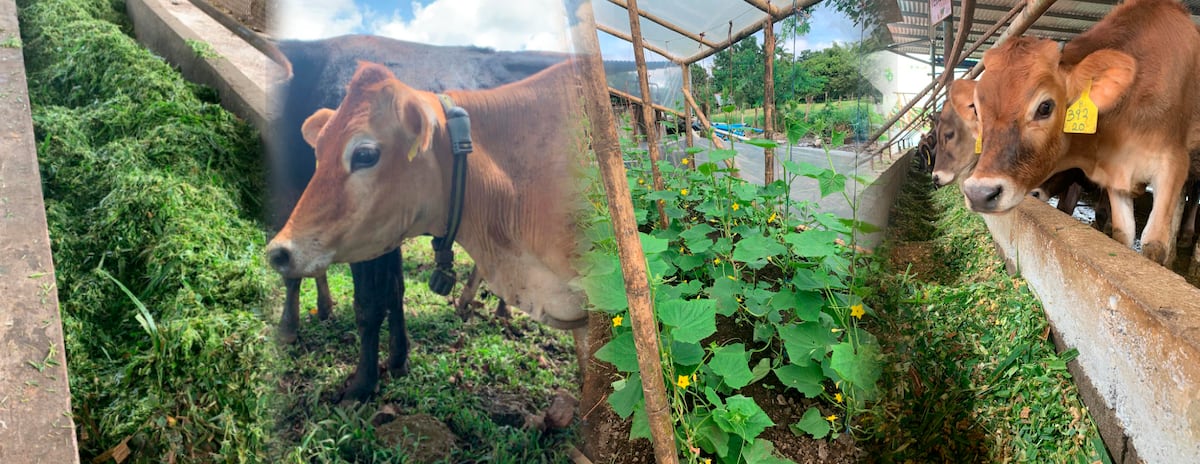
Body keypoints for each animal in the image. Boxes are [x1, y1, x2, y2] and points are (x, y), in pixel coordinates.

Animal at [265, 58, 588, 400]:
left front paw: (362, 383)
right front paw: (395, 360)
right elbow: (389, 291)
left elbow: (370, 302)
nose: (277, 252)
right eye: (319, 152)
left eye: (365, 154)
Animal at [955, 0, 1200, 264]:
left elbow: (1154, 244)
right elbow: (1122, 235)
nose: (979, 193)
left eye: (1045, 107)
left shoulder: (1172, 164)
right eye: (976, 110)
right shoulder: (1116, 181)